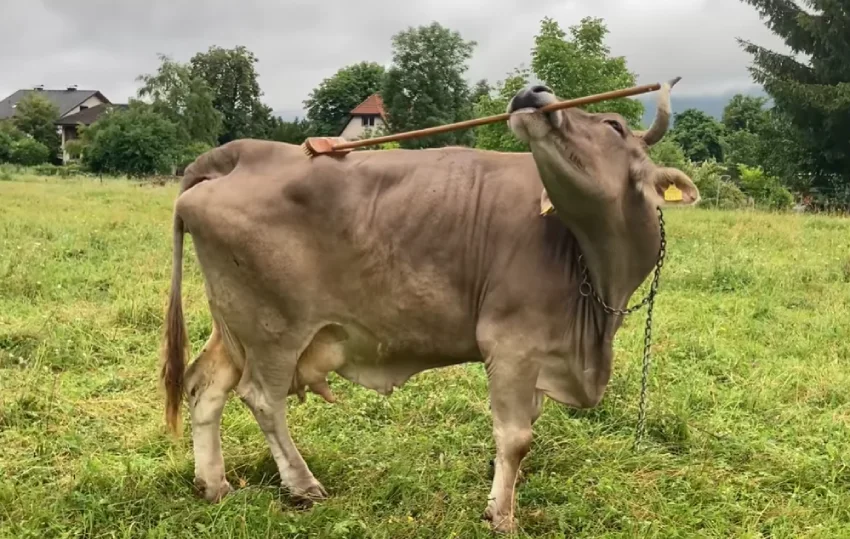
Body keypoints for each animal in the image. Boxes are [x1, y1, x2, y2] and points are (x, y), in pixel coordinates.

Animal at [160, 80, 699, 533]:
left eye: (612, 126)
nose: (533, 91)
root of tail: (246, 151)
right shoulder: (511, 343)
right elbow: (516, 436)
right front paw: (501, 515)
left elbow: (526, 425)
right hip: (273, 329)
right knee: (262, 398)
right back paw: (302, 484)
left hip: (233, 324)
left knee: (205, 385)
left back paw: (214, 484)